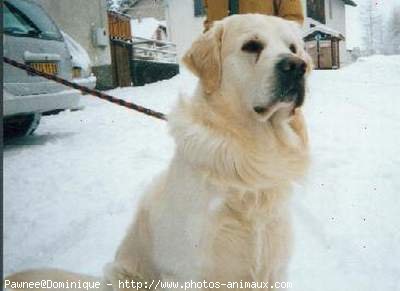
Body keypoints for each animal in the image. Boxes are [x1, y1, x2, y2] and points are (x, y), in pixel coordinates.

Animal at [4, 14, 310, 291]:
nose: (298, 66)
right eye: (251, 45)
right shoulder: (191, 274)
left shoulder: (273, 268)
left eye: (293, 48)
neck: (249, 150)